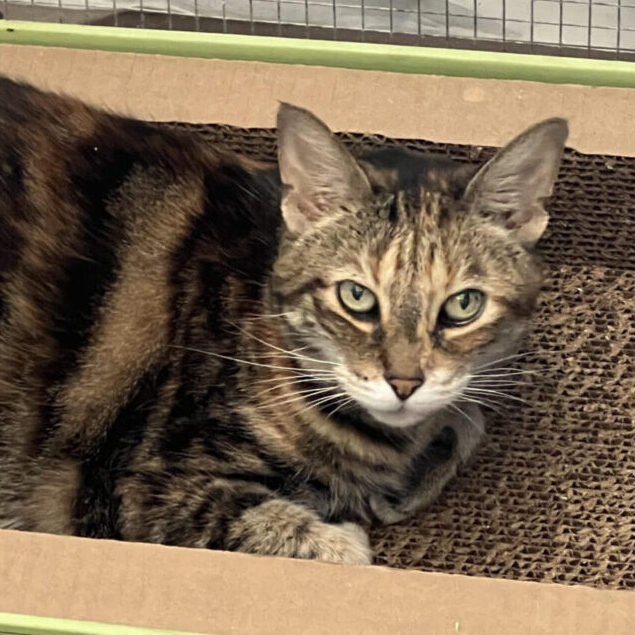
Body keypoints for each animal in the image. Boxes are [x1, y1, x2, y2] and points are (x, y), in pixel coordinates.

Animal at [0, 76, 568, 568]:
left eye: (463, 305)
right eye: (356, 296)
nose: (405, 383)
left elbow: (464, 420)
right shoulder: (141, 488)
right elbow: (325, 544)